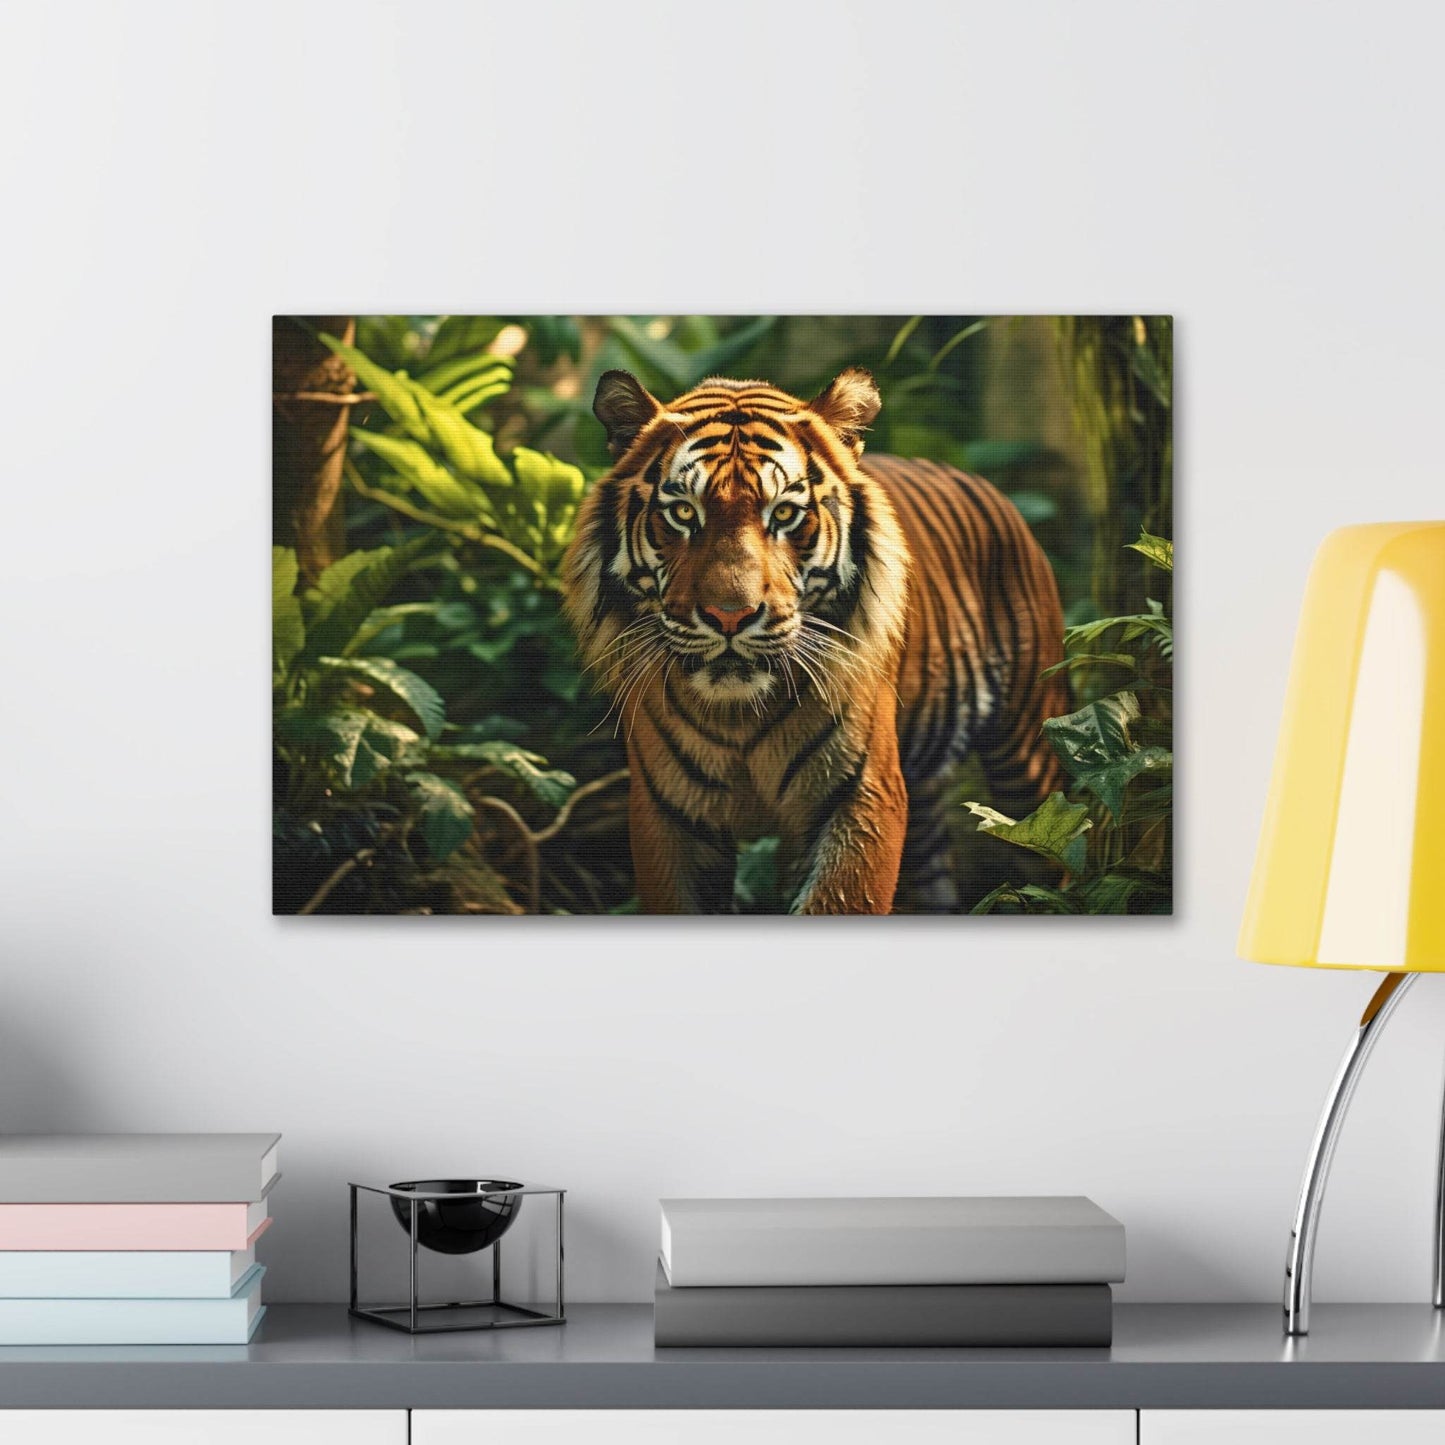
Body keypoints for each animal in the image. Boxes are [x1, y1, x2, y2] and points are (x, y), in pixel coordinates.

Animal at [561, 367, 1069, 915]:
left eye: (784, 514)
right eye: (682, 513)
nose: (729, 615)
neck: (738, 717)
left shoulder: (862, 796)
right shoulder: (668, 815)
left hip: (1029, 754)